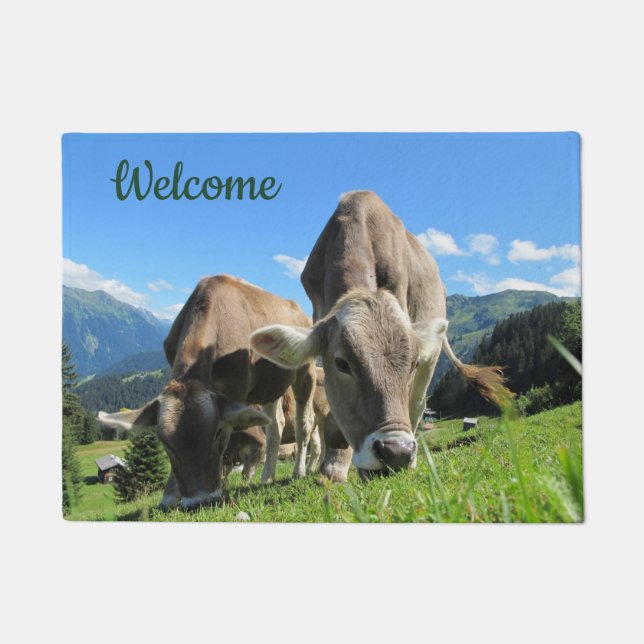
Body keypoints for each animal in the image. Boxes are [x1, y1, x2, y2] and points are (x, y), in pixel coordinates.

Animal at [97, 275, 317, 508]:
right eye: (165, 443)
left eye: (218, 433)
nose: (199, 501)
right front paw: (170, 496)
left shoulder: (236, 390)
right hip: (270, 385)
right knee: (276, 426)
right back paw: (267, 477)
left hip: (306, 371)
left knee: (304, 423)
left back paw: (299, 471)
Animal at [250, 191, 510, 481]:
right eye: (342, 364)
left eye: (412, 364)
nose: (397, 452)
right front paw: (335, 465)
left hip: (431, 359)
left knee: (418, 403)